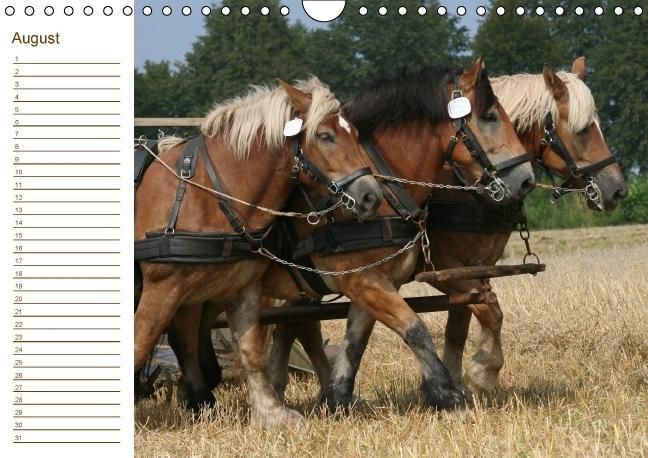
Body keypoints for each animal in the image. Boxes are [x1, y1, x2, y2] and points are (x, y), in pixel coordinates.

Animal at [134, 77, 384, 429]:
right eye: (325, 135)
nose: (371, 196)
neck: (204, 193)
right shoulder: (161, 288)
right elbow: (139, 344)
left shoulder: (241, 287)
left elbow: (251, 351)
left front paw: (272, 413)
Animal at [169, 58, 536, 415]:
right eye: (490, 117)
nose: (526, 179)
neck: (386, 187)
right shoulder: (368, 280)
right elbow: (417, 328)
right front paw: (453, 392)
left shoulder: (380, 281)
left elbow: (357, 341)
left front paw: (336, 398)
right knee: (185, 333)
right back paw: (202, 396)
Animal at [265, 57, 628, 406]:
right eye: (583, 129)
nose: (617, 190)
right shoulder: (444, 270)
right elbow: (489, 311)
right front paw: (479, 375)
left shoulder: (471, 269)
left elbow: (459, 326)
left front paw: (454, 382)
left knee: (294, 324)